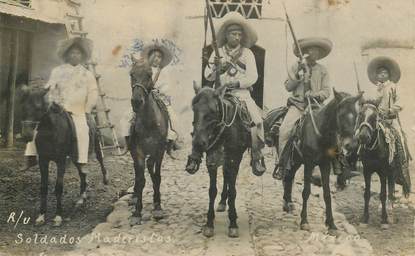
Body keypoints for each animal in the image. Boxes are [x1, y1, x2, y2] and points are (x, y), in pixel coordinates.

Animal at [20, 85, 109, 226]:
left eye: (38, 108)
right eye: (23, 107)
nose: (26, 135)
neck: (50, 131)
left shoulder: (60, 161)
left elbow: (59, 187)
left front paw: (58, 216)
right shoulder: (43, 161)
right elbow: (43, 187)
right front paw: (41, 216)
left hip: (95, 145)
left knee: (100, 160)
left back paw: (105, 179)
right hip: (75, 157)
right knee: (82, 173)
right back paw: (81, 198)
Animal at [188, 83, 256, 238]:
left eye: (212, 111)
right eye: (194, 108)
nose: (199, 143)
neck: (226, 130)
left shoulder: (234, 159)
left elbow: (233, 191)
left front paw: (233, 222)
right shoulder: (211, 160)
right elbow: (212, 191)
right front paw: (209, 223)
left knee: (229, 178)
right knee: (225, 175)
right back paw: (222, 202)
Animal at [282, 90, 362, 236]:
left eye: (356, 115)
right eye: (341, 114)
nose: (351, 144)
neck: (321, 134)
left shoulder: (325, 165)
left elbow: (327, 194)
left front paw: (331, 224)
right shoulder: (309, 164)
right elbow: (306, 191)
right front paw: (304, 221)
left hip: (296, 161)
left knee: (289, 177)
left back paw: (288, 203)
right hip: (294, 160)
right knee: (287, 176)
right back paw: (287, 203)